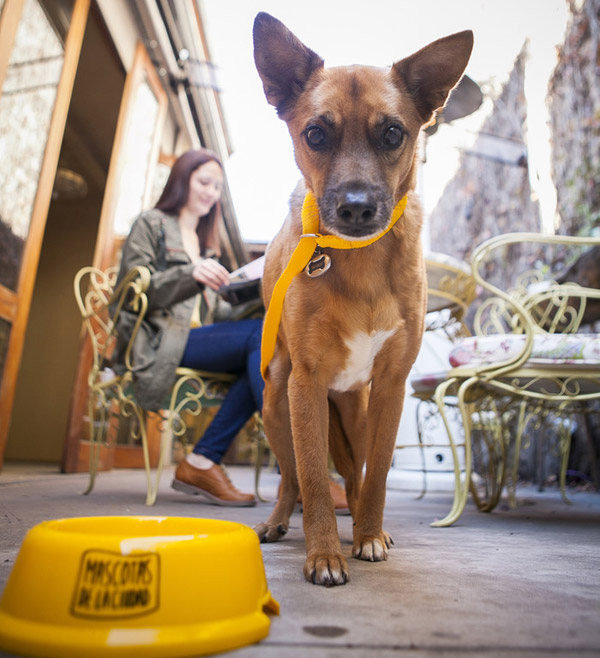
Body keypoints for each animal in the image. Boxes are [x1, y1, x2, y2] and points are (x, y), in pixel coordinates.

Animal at [253, 11, 474, 584]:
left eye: (393, 132)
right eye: (315, 133)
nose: (355, 208)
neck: (361, 260)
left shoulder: (391, 386)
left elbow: (374, 478)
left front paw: (369, 536)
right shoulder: (304, 384)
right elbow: (312, 478)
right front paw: (324, 555)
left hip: (354, 410)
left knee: (353, 477)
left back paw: (366, 528)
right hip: (275, 402)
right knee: (289, 477)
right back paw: (278, 521)